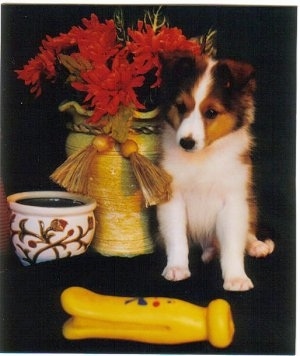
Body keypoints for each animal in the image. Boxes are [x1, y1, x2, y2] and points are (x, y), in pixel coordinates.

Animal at [157, 52, 274, 290]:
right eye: (181, 107)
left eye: (211, 112)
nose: (186, 143)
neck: (203, 159)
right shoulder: (172, 199)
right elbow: (176, 237)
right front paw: (177, 268)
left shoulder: (233, 201)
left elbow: (232, 245)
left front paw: (236, 278)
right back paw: (209, 252)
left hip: (248, 203)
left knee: (246, 231)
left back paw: (256, 245)